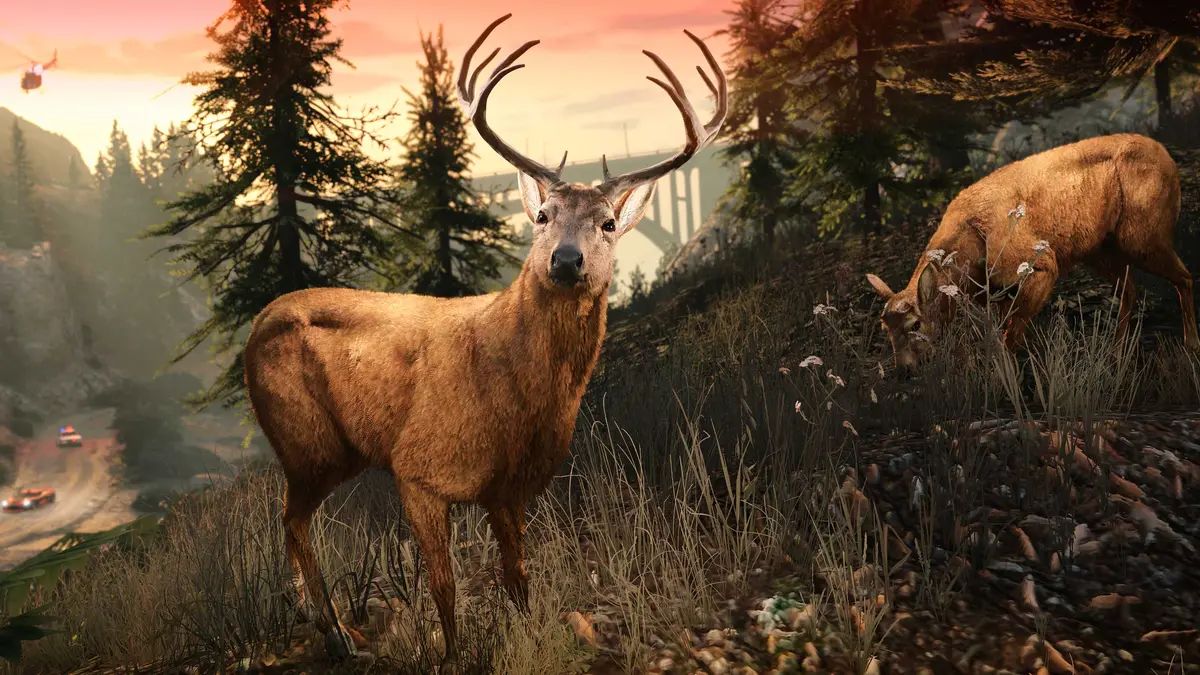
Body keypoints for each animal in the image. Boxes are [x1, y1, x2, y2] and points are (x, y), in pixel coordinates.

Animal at [241, 13, 727, 668]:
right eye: (542, 215)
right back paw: (336, 631)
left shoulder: (511, 489)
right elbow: (445, 585)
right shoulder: (417, 466)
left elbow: (518, 579)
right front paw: (452, 657)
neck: (517, 393)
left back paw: (328, 625)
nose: (565, 260)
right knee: (292, 520)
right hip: (307, 441)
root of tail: (256, 326)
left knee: (292, 521)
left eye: (607, 223)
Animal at [864, 133, 1200, 371]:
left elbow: (1009, 339)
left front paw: (1001, 381)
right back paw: (1116, 353)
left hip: (1141, 235)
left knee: (1184, 277)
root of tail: (1168, 158)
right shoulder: (996, 293)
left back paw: (1191, 346)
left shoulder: (1039, 267)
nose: (903, 371)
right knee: (1130, 288)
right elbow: (999, 334)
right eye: (884, 327)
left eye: (916, 324)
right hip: (1100, 250)